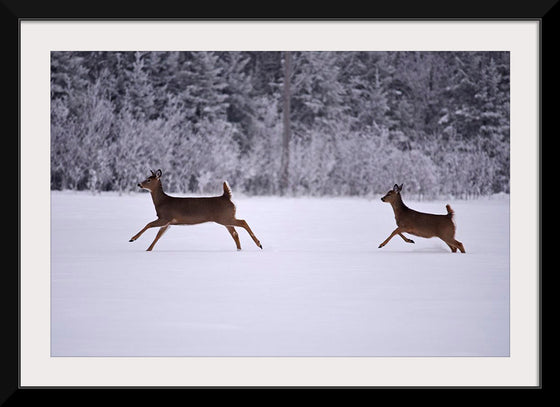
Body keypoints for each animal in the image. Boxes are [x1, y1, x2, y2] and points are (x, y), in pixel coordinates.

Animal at [128, 169, 264, 252]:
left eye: (149, 180)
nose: (139, 184)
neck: (162, 202)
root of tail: (227, 197)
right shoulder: (168, 222)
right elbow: (158, 236)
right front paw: (148, 250)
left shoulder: (165, 217)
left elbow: (149, 224)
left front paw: (132, 239)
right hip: (226, 218)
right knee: (235, 233)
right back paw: (239, 250)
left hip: (225, 217)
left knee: (243, 222)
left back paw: (259, 244)